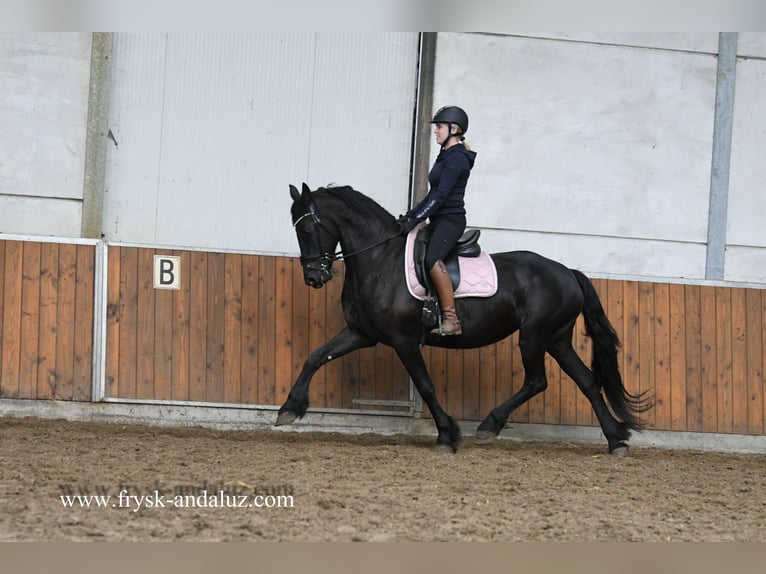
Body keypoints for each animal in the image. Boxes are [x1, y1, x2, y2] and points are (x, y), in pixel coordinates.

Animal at [278, 182, 656, 456]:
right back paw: (616, 440)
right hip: (557, 339)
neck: (380, 260)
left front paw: (447, 435)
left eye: (307, 229)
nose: (313, 277)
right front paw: (289, 407)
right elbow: (315, 357)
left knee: (537, 381)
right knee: (587, 382)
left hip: (533, 336)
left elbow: (426, 386)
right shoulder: (361, 333)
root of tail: (568, 273)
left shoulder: (403, 341)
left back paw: (490, 425)